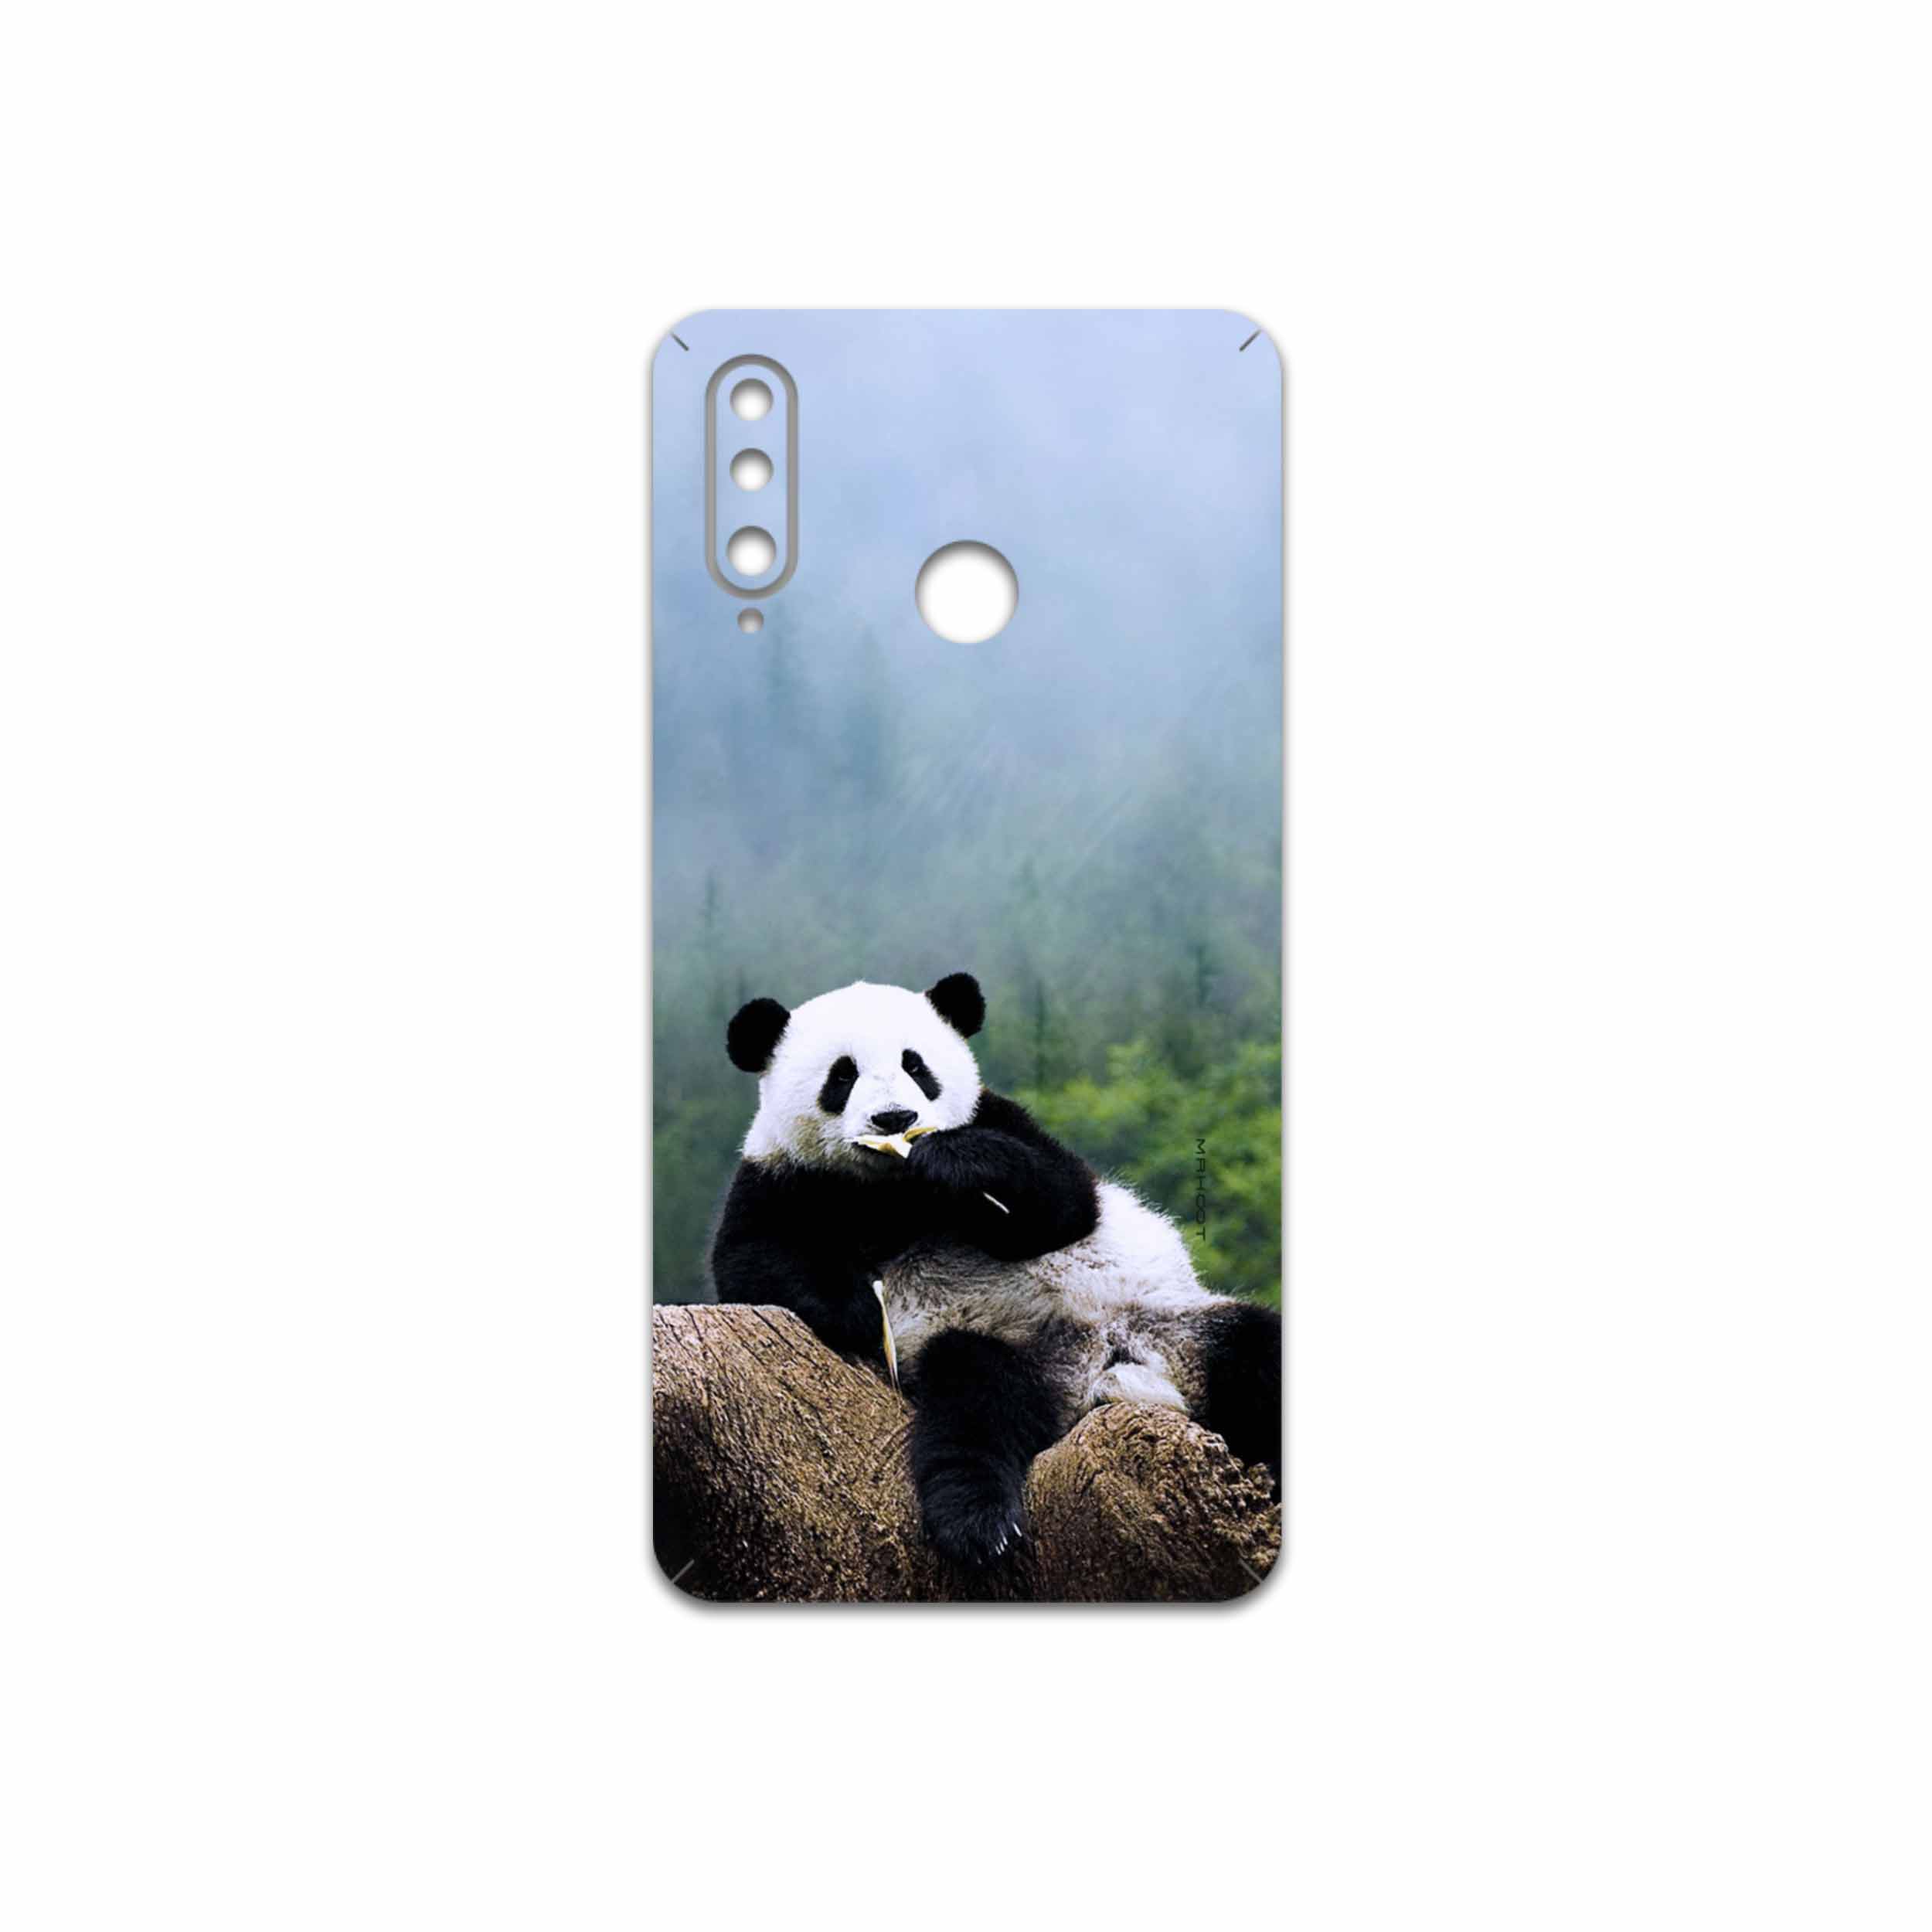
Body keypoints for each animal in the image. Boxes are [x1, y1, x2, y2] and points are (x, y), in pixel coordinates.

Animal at [710, 972, 1281, 1566]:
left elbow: (1065, 1201)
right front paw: (861, 1311)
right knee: (975, 1408)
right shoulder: (781, 1177)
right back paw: (980, 1524)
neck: (891, 1188)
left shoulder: (1001, 1119)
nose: (895, 1119)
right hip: (998, 1349)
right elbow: (752, 1260)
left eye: (916, 1066)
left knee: (1257, 1352)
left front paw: (956, 1163)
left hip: (1172, 1323)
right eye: (842, 1075)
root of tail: (1099, 1372)